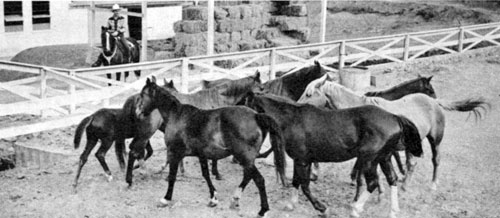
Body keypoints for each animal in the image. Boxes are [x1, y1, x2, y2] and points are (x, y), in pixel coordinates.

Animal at [123, 71, 262, 186]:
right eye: (261, 88)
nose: (255, 111)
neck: (217, 98)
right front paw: (216, 174)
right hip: (147, 132)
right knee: (134, 151)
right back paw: (132, 178)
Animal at [135, 77, 288, 218]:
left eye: (143, 94)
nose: (138, 113)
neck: (177, 115)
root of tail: (256, 116)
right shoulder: (201, 155)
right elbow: (206, 175)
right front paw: (213, 198)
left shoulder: (174, 153)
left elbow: (172, 176)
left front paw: (165, 199)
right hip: (246, 158)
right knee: (248, 176)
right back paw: (235, 200)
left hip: (244, 157)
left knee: (259, 180)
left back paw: (262, 210)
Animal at [244, 93, 424, 218]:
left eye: (245, 105)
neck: (293, 120)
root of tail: (394, 117)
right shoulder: (300, 160)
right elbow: (296, 182)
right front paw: (291, 204)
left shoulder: (303, 161)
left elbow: (305, 186)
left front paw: (322, 208)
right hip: (383, 158)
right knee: (392, 178)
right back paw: (393, 211)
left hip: (369, 160)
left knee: (372, 183)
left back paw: (355, 209)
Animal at [298, 79, 490, 192]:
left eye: (309, 93)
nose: (297, 105)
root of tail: (434, 102)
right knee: (412, 163)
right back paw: (404, 184)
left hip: (435, 139)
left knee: (435, 160)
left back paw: (432, 184)